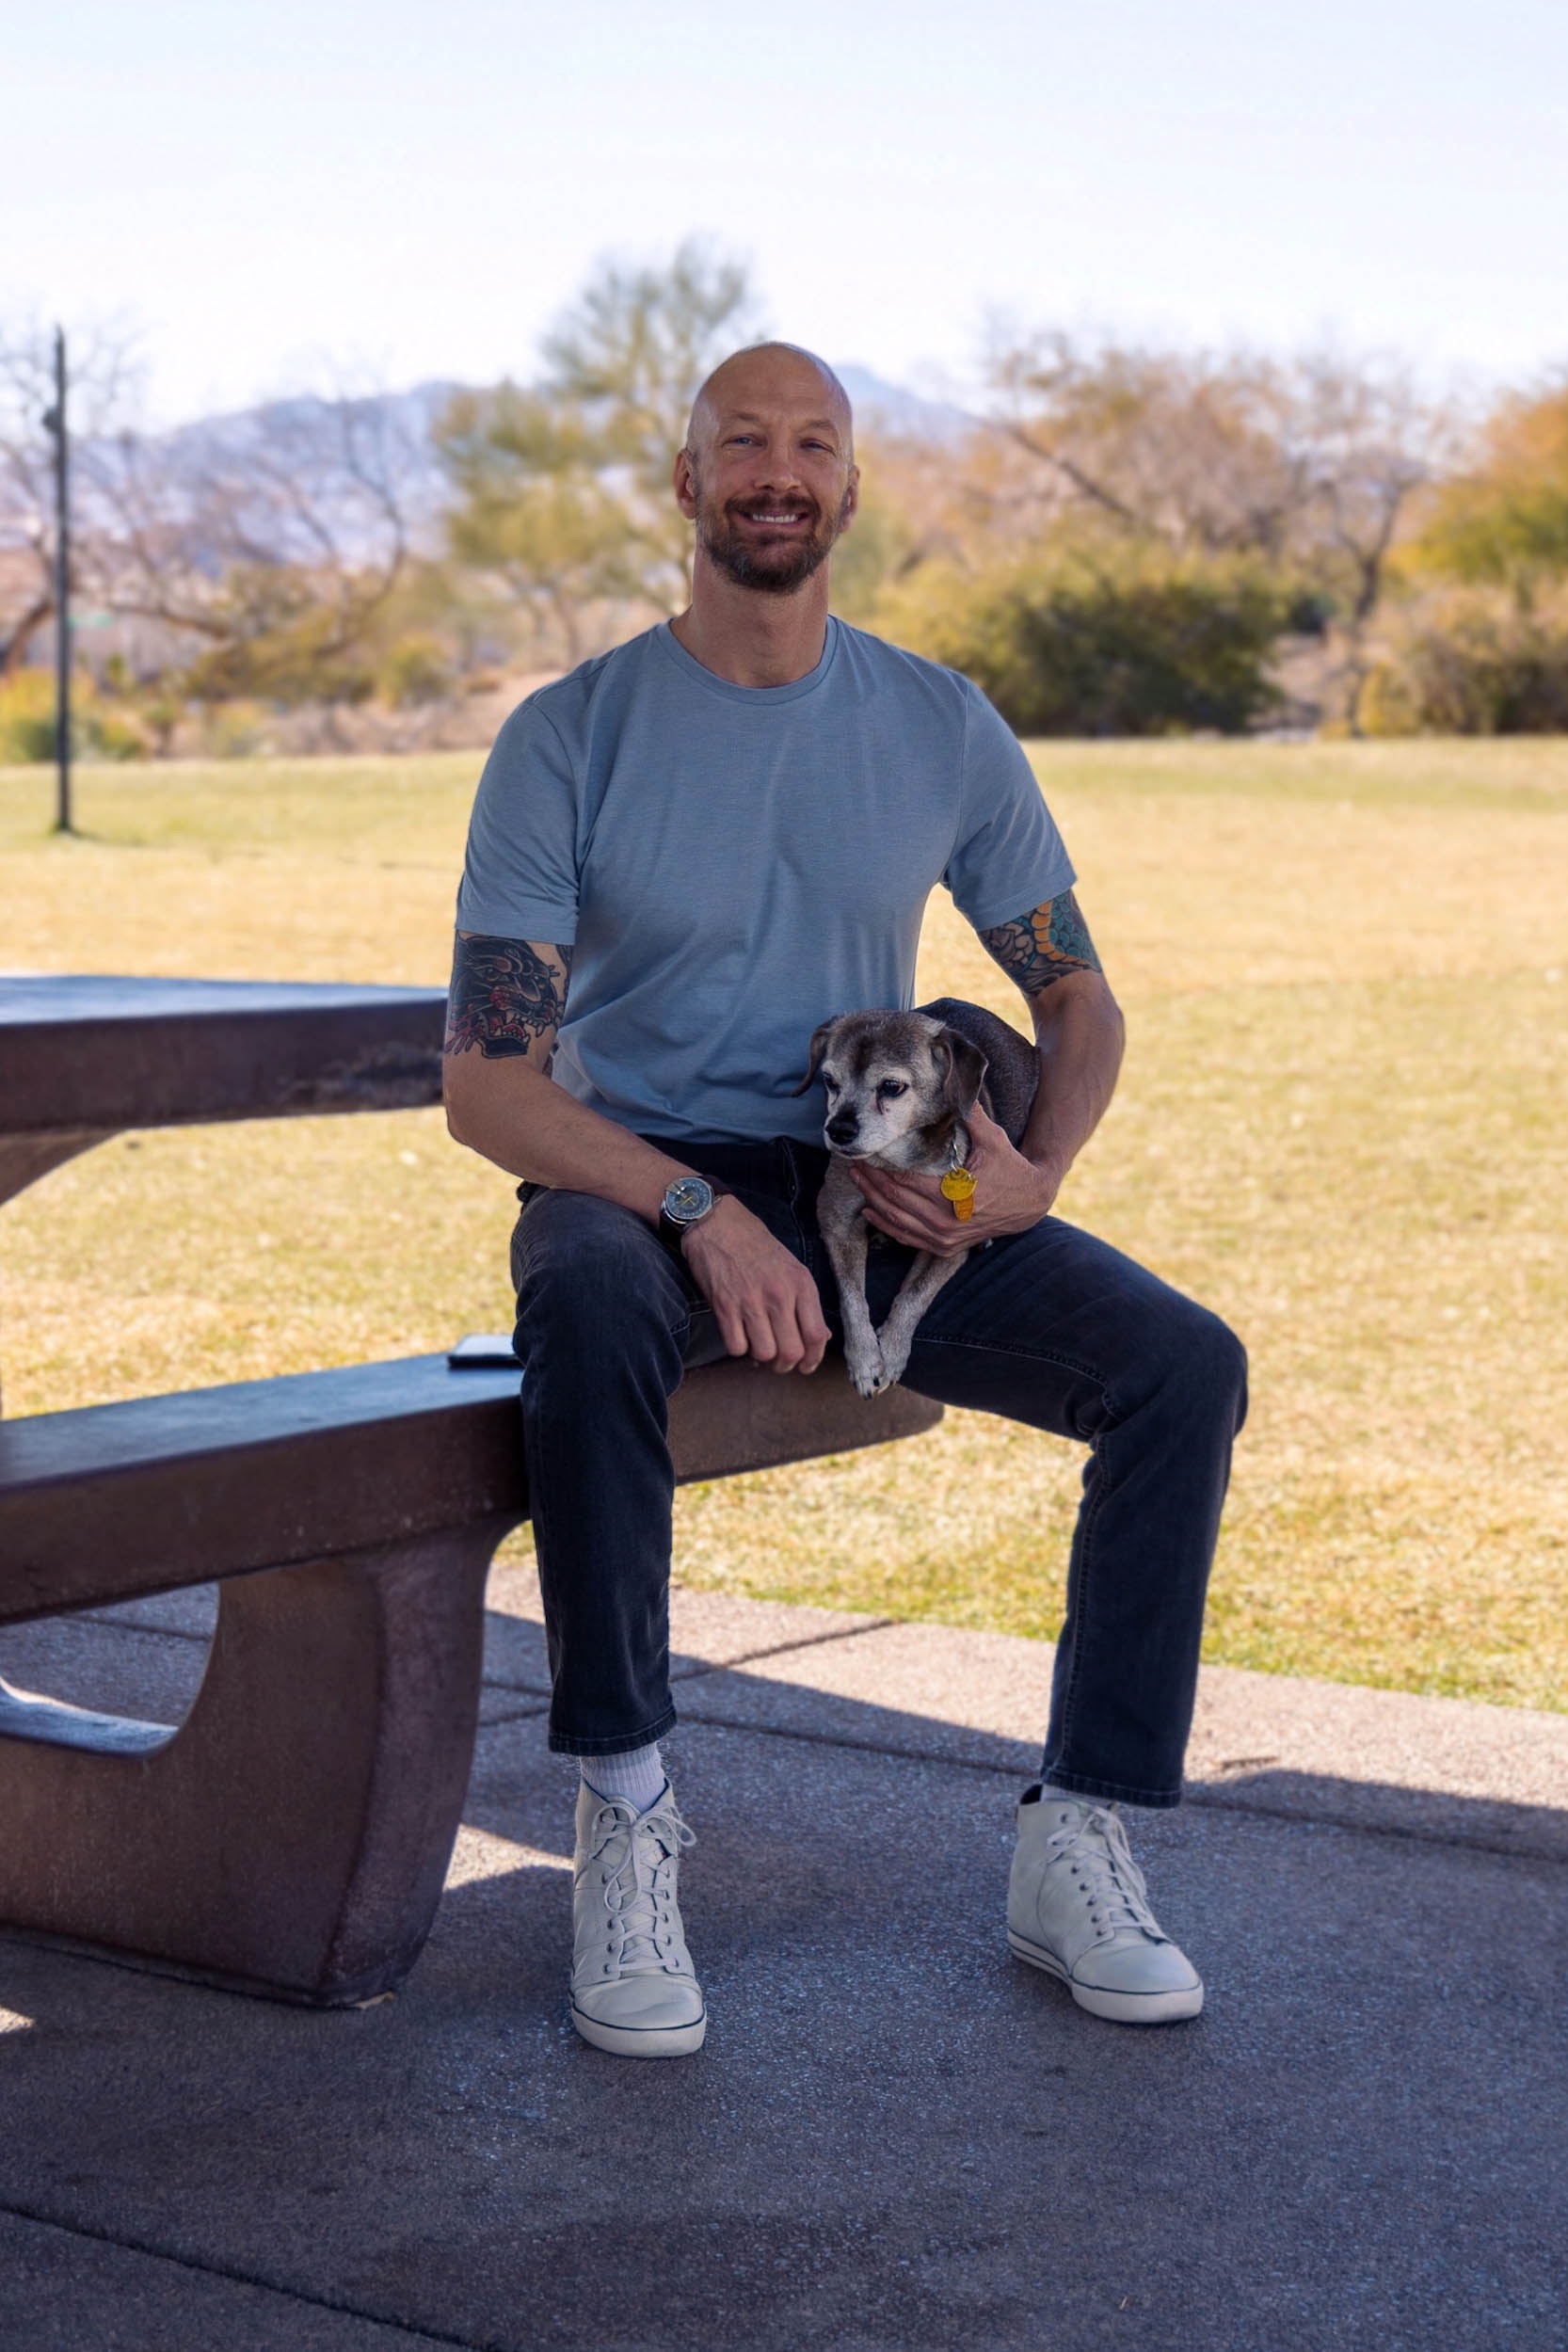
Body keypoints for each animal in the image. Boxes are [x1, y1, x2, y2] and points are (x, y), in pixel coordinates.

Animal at [799, 992, 1044, 1392]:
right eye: (829, 1080)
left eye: (891, 1087)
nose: (838, 1131)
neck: (896, 1161)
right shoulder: (836, 1220)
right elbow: (852, 1298)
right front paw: (865, 1359)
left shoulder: (948, 1242)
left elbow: (914, 1296)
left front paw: (893, 1351)